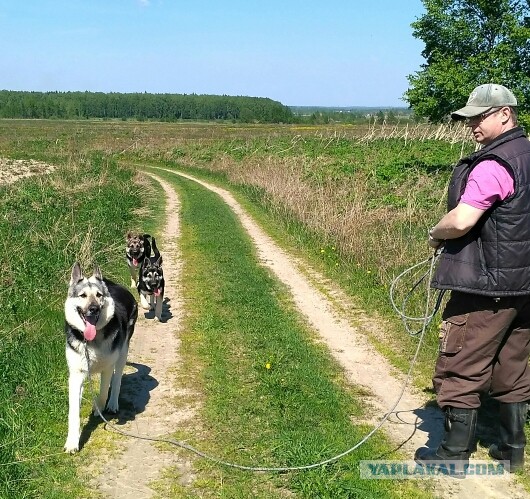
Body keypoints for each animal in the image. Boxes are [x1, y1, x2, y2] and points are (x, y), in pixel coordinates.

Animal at [62, 264, 137, 456]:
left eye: (98, 295)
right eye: (82, 296)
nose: (94, 309)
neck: (91, 342)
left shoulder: (108, 367)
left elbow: (103, 391)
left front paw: (99, 407)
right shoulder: (76, 375)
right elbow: (73, 412)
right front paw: (72, 442)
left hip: (123, 352)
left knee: (117, 380)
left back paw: (112, 404)